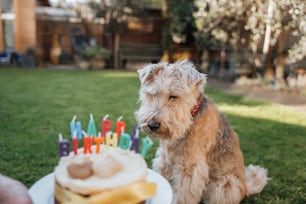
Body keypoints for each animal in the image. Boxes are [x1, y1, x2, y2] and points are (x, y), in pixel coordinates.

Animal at [136, 60, 268, 204]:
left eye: (173, 96)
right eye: (152, 94)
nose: (152, 125)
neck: (190, 118)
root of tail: (246, 188)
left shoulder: (190, 168)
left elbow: (182, 194)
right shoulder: (164, 159)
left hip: (222, 185)